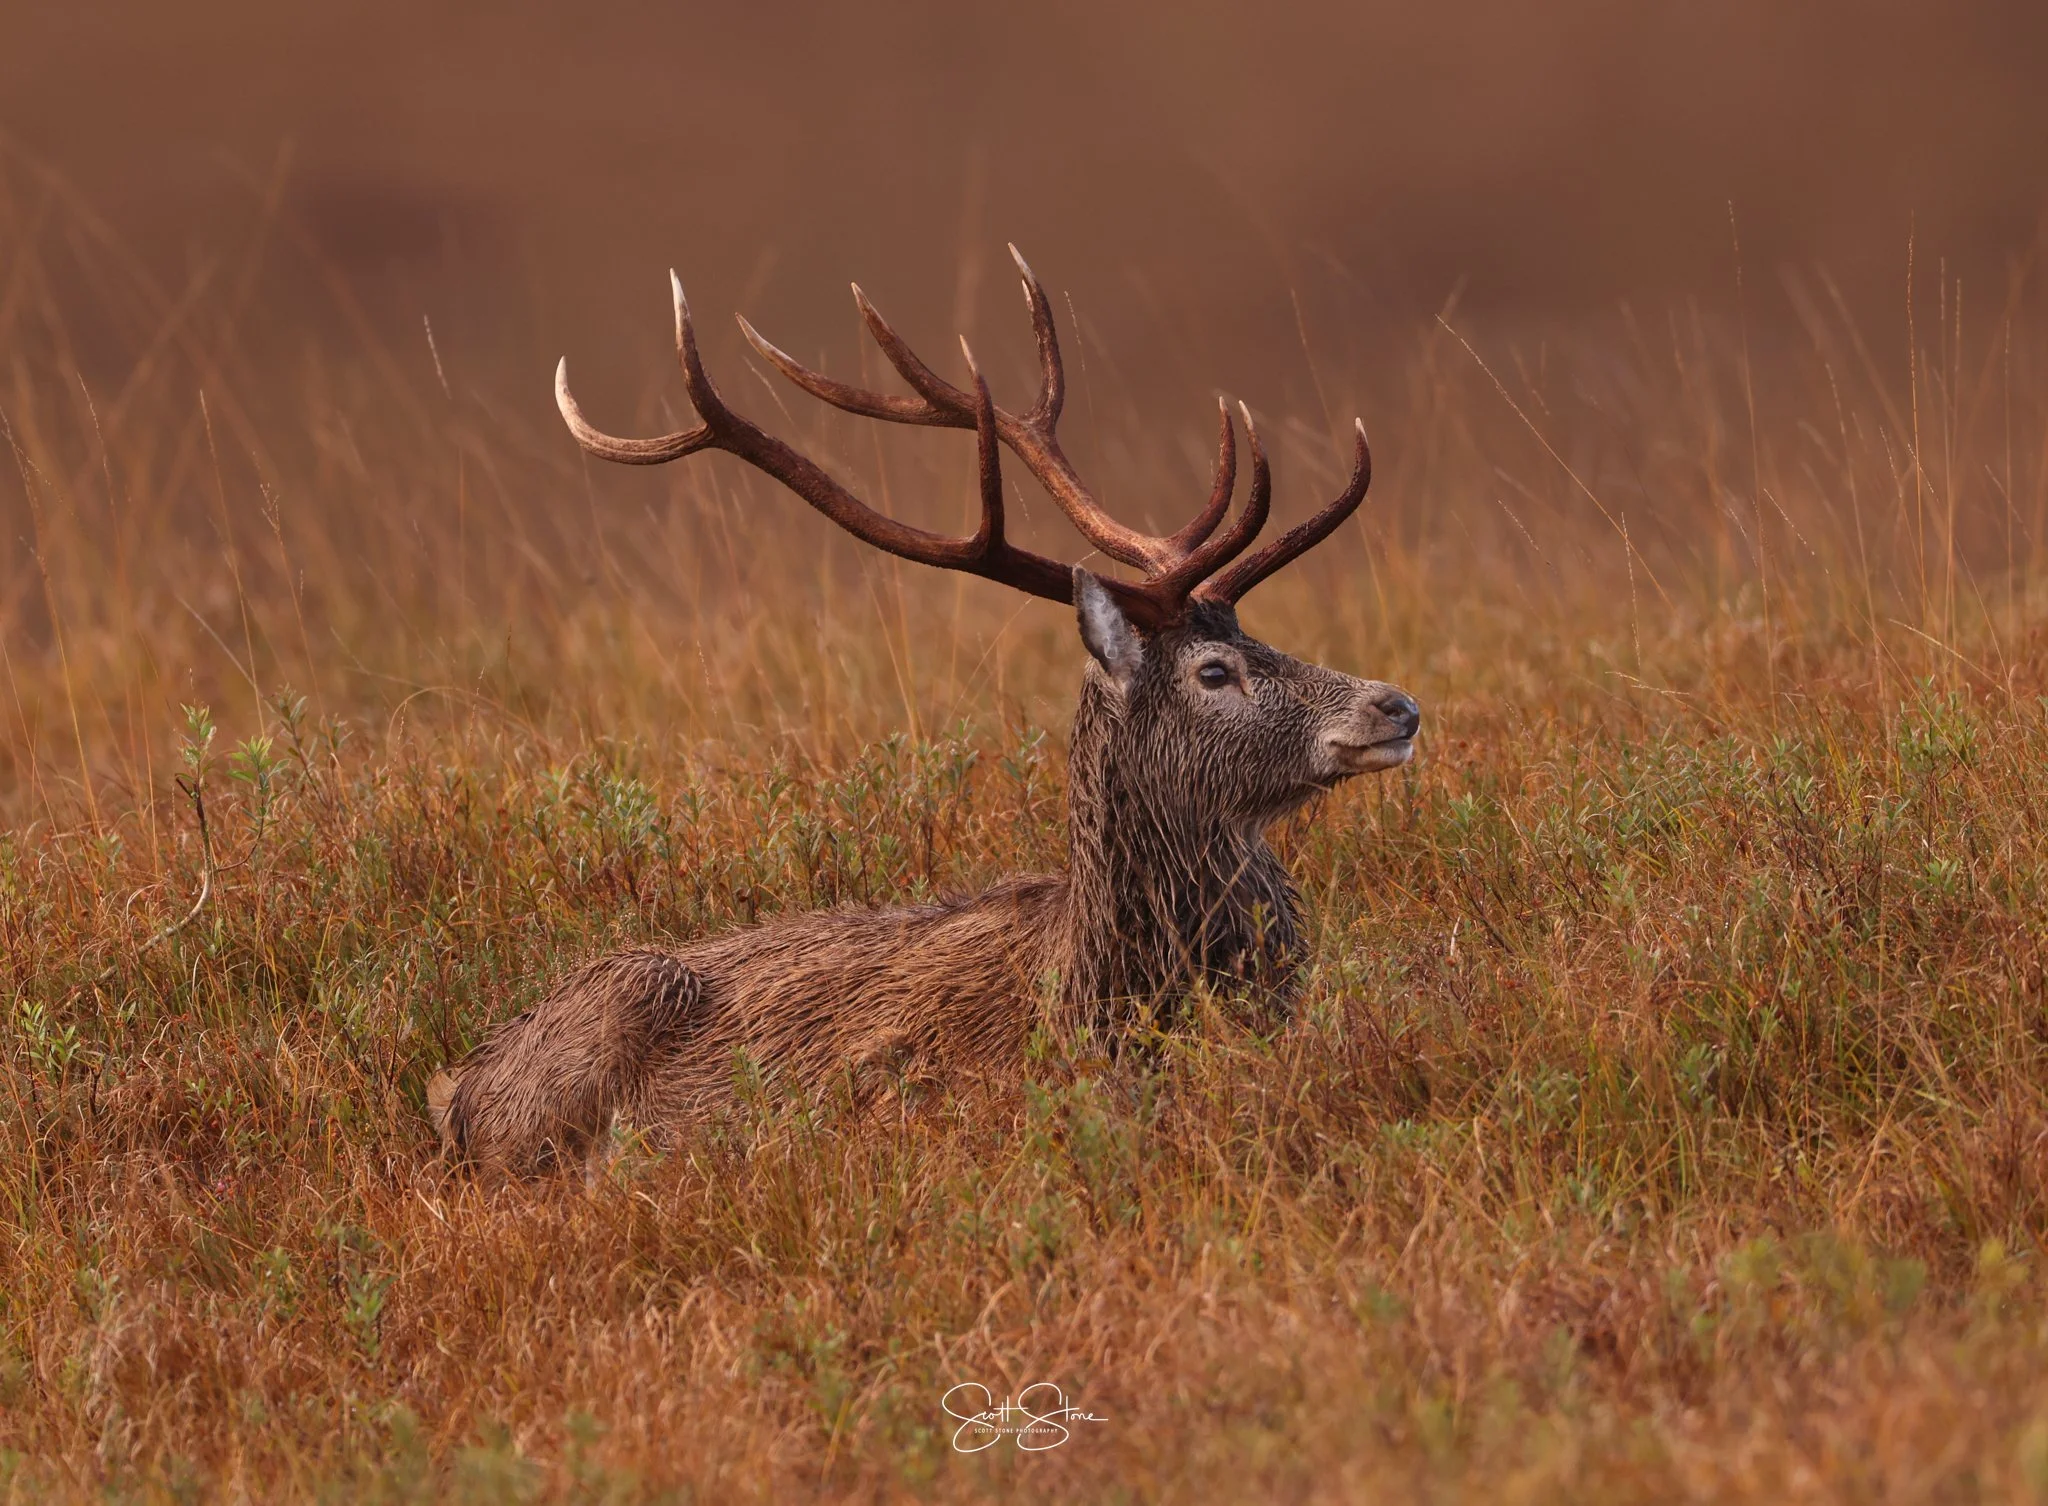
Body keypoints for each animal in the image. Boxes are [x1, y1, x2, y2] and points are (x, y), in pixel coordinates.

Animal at [428, 248, 1420, 1173]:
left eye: (1257, 635)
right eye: (1215, 672)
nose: (1397, 705)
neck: (1098, 990)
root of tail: (459, 1087)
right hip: (593, 1043)